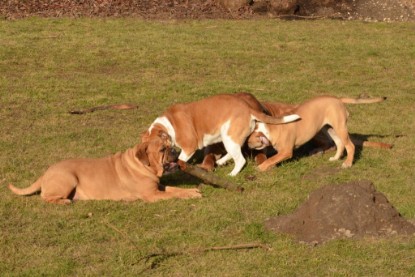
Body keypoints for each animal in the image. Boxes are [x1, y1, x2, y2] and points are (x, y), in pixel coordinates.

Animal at [6, 132, 202, 203]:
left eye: (171, 144)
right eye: (162, 149)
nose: (176, 151)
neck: (142, 165)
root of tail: (46, 172)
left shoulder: (158, 187)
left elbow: (174, 189)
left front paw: (191, 190)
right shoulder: (152, 195)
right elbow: (174, 194)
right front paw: (190, 195)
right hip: (68, 178)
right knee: (46, 197)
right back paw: (64, 201)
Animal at [143, 92, 300, 175]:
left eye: (160, 149)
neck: (168, 125)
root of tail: (248, 108)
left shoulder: (188, 147)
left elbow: (181, 158)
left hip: (229, 136)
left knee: (240, 159)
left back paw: (232, 174)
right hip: (228, 138)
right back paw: (221, 161)